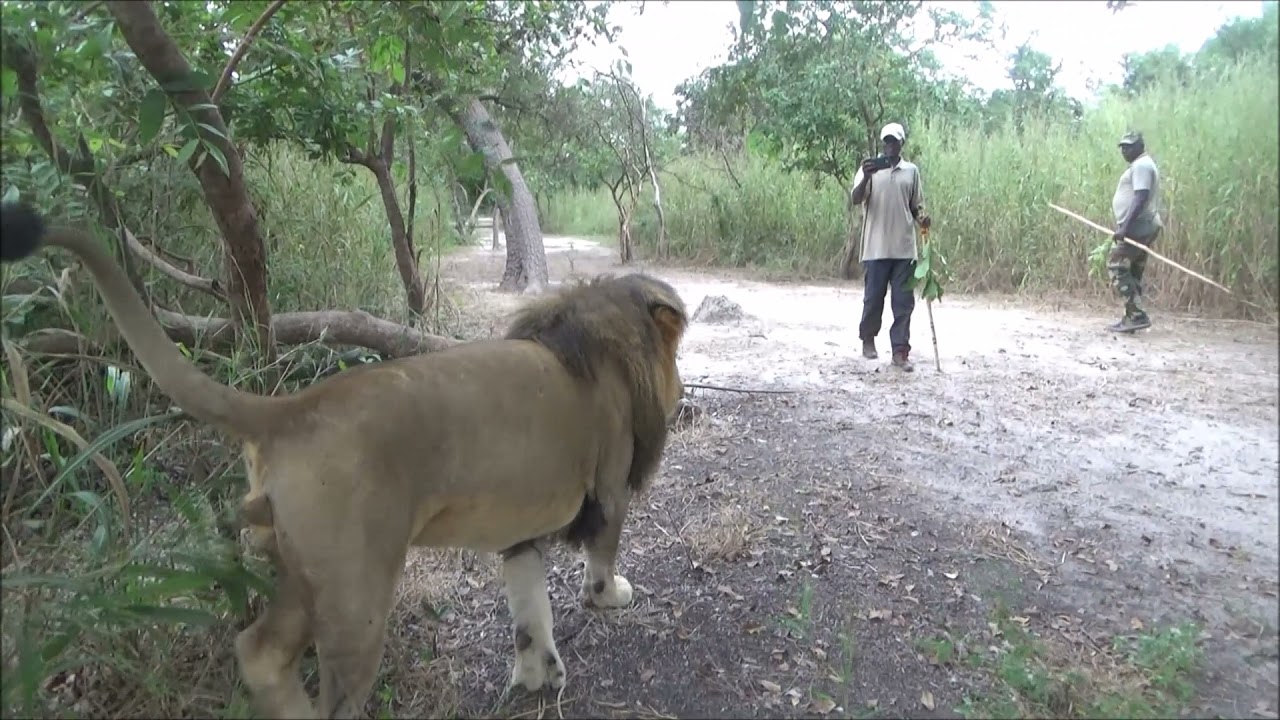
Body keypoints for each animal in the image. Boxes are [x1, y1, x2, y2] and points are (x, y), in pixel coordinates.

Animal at [0, 202, 688, 719]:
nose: (683, 388)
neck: (601, 340)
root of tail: (288, 410)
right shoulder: (609, 490)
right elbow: (598, 564)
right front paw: (611, 597)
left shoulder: (520, 533)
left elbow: (528, 609)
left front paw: (537, 674)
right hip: (358, 592)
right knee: (320, 684)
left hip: (305, 568)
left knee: (257, 648)